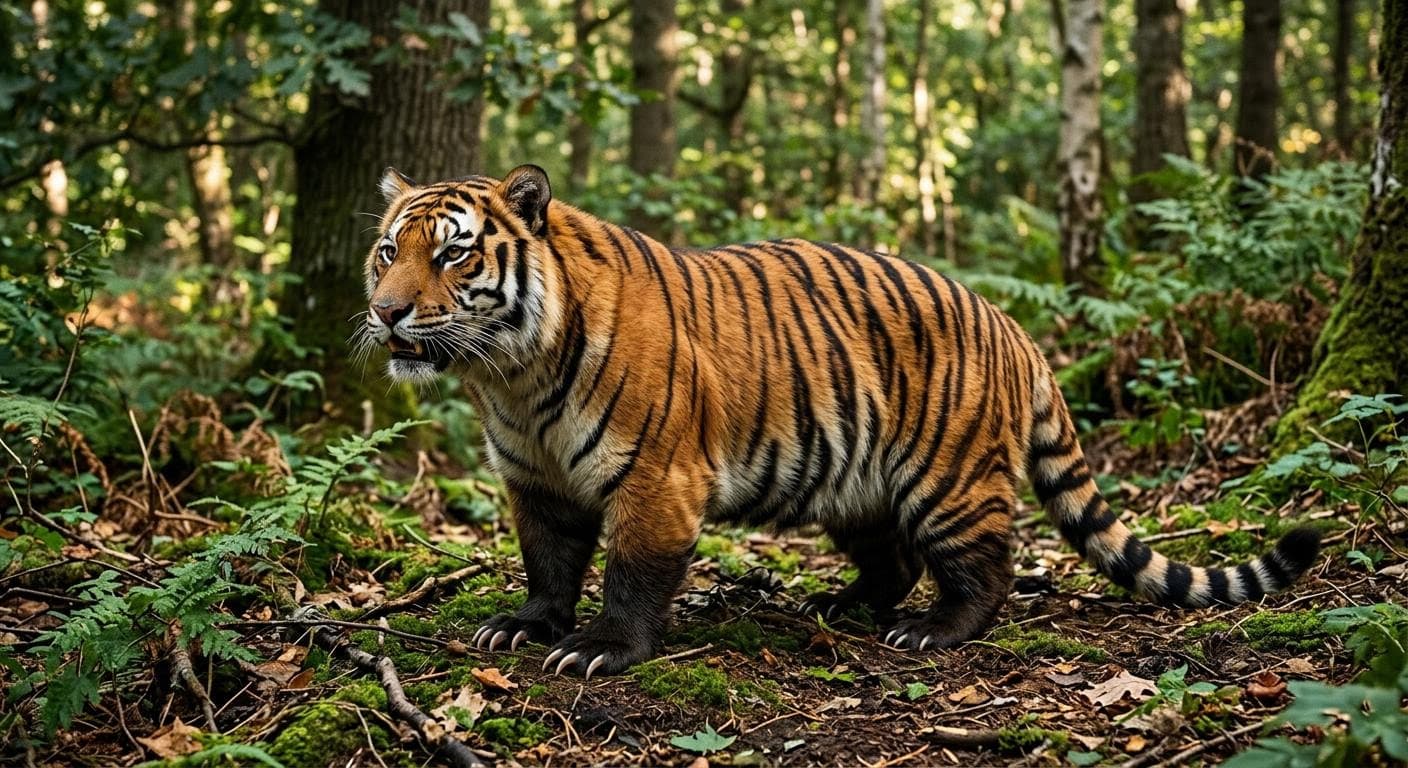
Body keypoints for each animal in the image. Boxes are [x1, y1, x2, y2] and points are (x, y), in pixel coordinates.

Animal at [358, 164, 1322, 678]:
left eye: (453, 254)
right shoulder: (536, 480)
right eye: (388, 250)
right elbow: (549, 562)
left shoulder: (656, 478)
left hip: (949, 479)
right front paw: (527, 625)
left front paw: (602, 648)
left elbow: (631, 572)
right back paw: (844, 602)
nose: (387, 311)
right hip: (851, 482)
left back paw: (933, 629)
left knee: (988, 567)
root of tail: (1012, 325)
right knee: (892, 560)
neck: (510, 375)